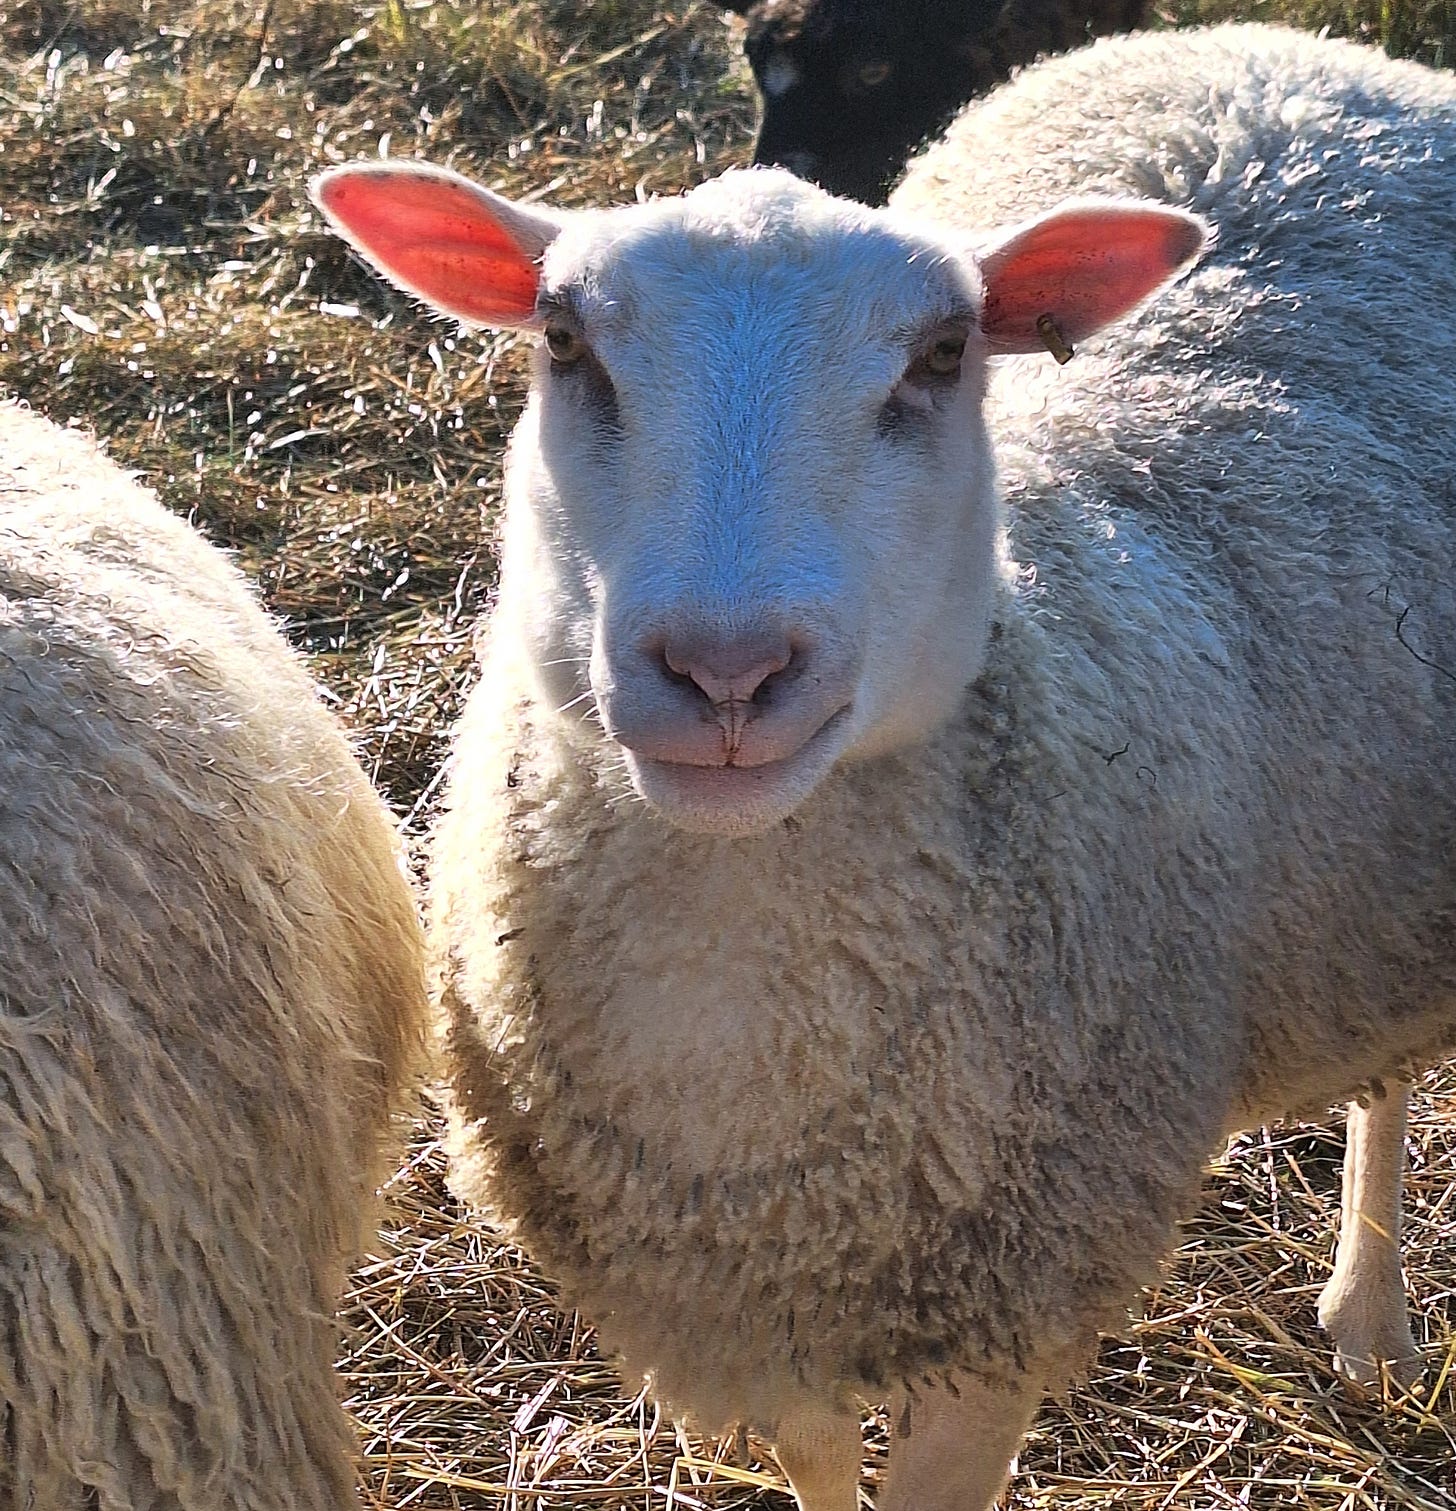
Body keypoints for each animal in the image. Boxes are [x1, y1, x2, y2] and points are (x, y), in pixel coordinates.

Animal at [312, 26, 1449, 1511]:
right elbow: (813, 1462)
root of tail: (1293, 54)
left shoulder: (995, 1312)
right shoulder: (757, 1301)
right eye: (563, 339)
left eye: (945, 350)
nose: (725, 671)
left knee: (1392, 1078)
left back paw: (1369, 1312)